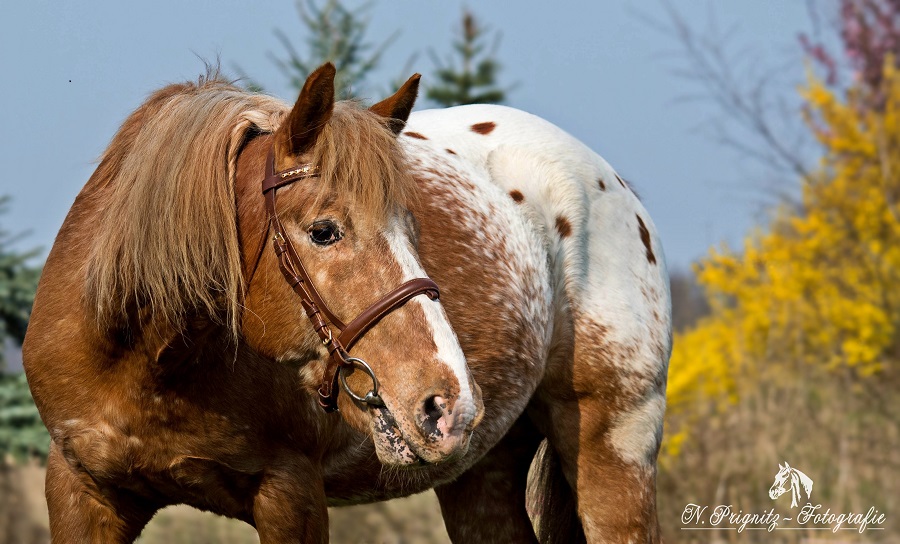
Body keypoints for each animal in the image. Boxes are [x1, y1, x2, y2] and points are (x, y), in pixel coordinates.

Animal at [21, 65, 672, 544]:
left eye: (413, 227)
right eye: (325, 231)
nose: (447, 402)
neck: (147, 363)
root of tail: (611, 184)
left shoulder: (291, 496)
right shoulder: (81, 492)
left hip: (616, 456)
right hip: (480, 475)